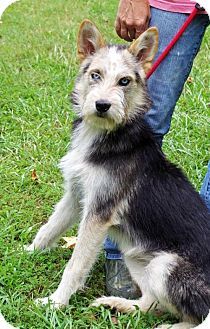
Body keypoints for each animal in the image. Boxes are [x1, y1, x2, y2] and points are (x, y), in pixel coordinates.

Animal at [26, 19, 210, 326]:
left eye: (125, 81)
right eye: (95, 75)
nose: (102, 105)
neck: (105, 135)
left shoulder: (99, 213)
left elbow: (75, 265)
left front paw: (55, 304)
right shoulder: (76, 195)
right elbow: (49, 228)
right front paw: (26, 252)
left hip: (165, 264)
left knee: (195, 316)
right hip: (136, 256)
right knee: (150, 304)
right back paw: (118, 305)